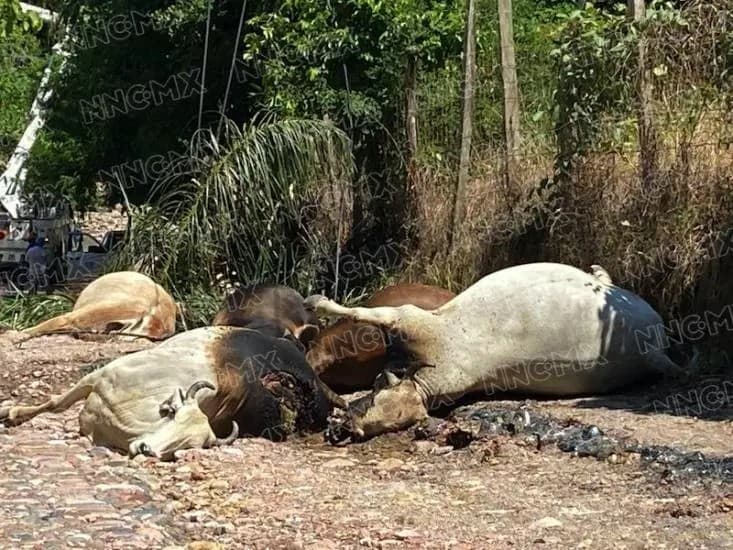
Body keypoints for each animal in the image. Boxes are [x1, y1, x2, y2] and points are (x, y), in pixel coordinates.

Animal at [0, 325, 346, 459]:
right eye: (173, 417)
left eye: (194, 445)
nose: (147, 450)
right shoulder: (100, 375)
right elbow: (56, 402)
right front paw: (11, 413)